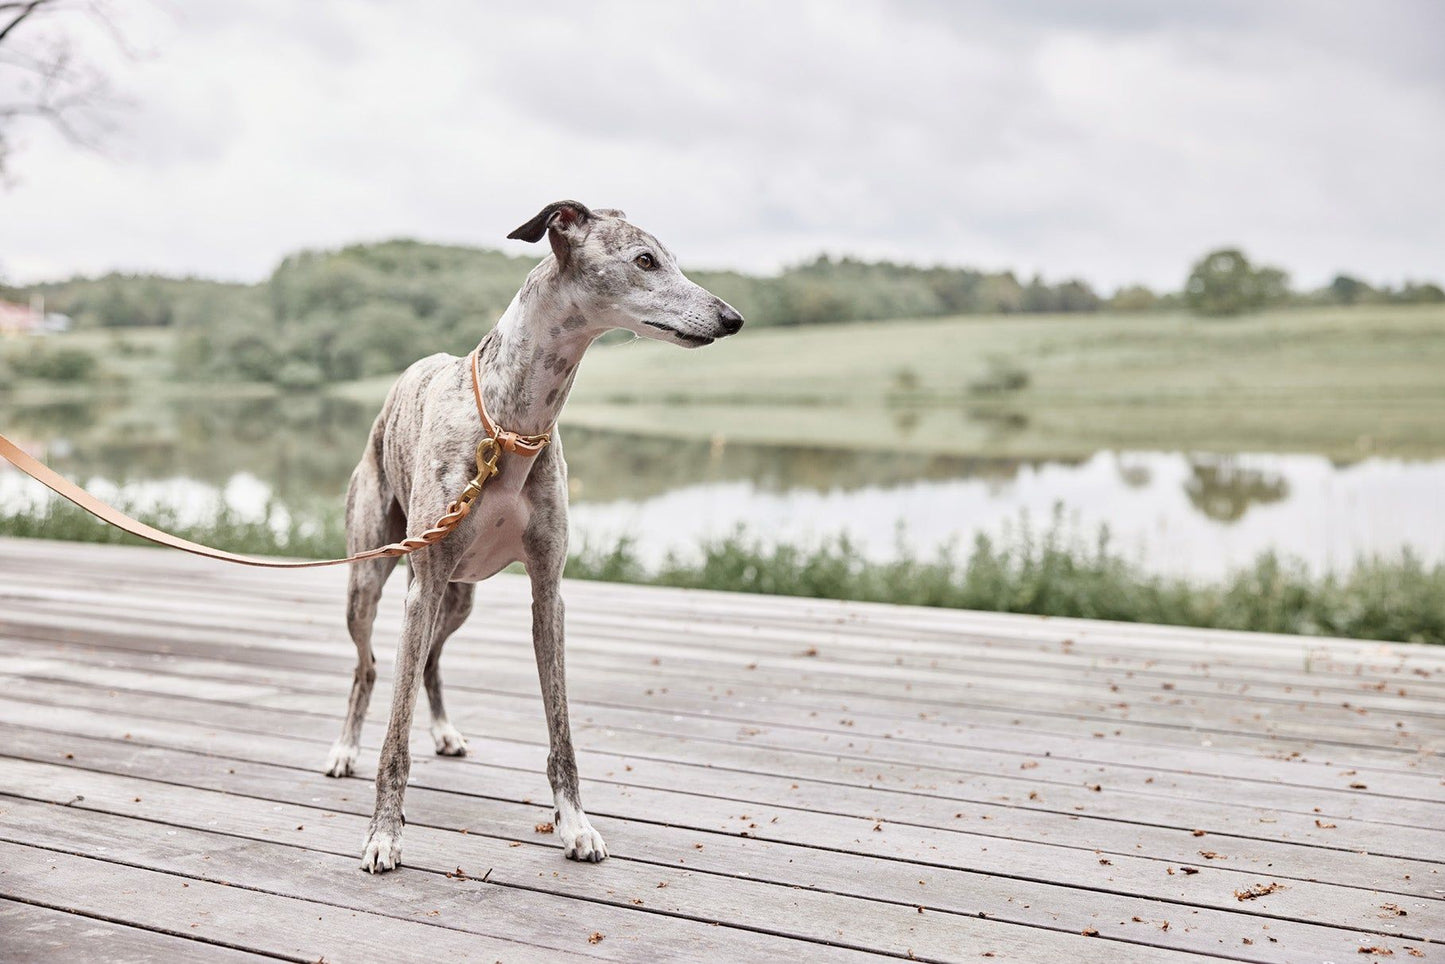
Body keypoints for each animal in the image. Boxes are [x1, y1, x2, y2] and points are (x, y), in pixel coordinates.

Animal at [326, 202, 745, 872]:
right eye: (645, 260)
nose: (732, 319)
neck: (510, 426)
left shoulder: (548, 589)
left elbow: (560, 730)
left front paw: (575, 826)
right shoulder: (423, 585)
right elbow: (395, 738)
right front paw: (384, 835)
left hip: (458, 596)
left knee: (431, 661)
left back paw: (443, 730)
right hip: (375, 579)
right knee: (368, 667)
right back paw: (344, 748)